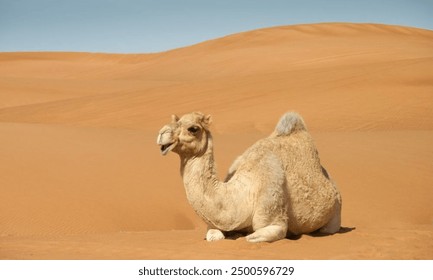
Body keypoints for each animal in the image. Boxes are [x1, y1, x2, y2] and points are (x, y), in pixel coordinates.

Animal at [156, 112, 340, 243]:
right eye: (177, 120)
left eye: (193, 128)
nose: (161, 133)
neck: (241, 196)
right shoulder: (215, 222)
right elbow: (213, 235)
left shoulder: (273, 220)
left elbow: (253, 237)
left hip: (337, 210)